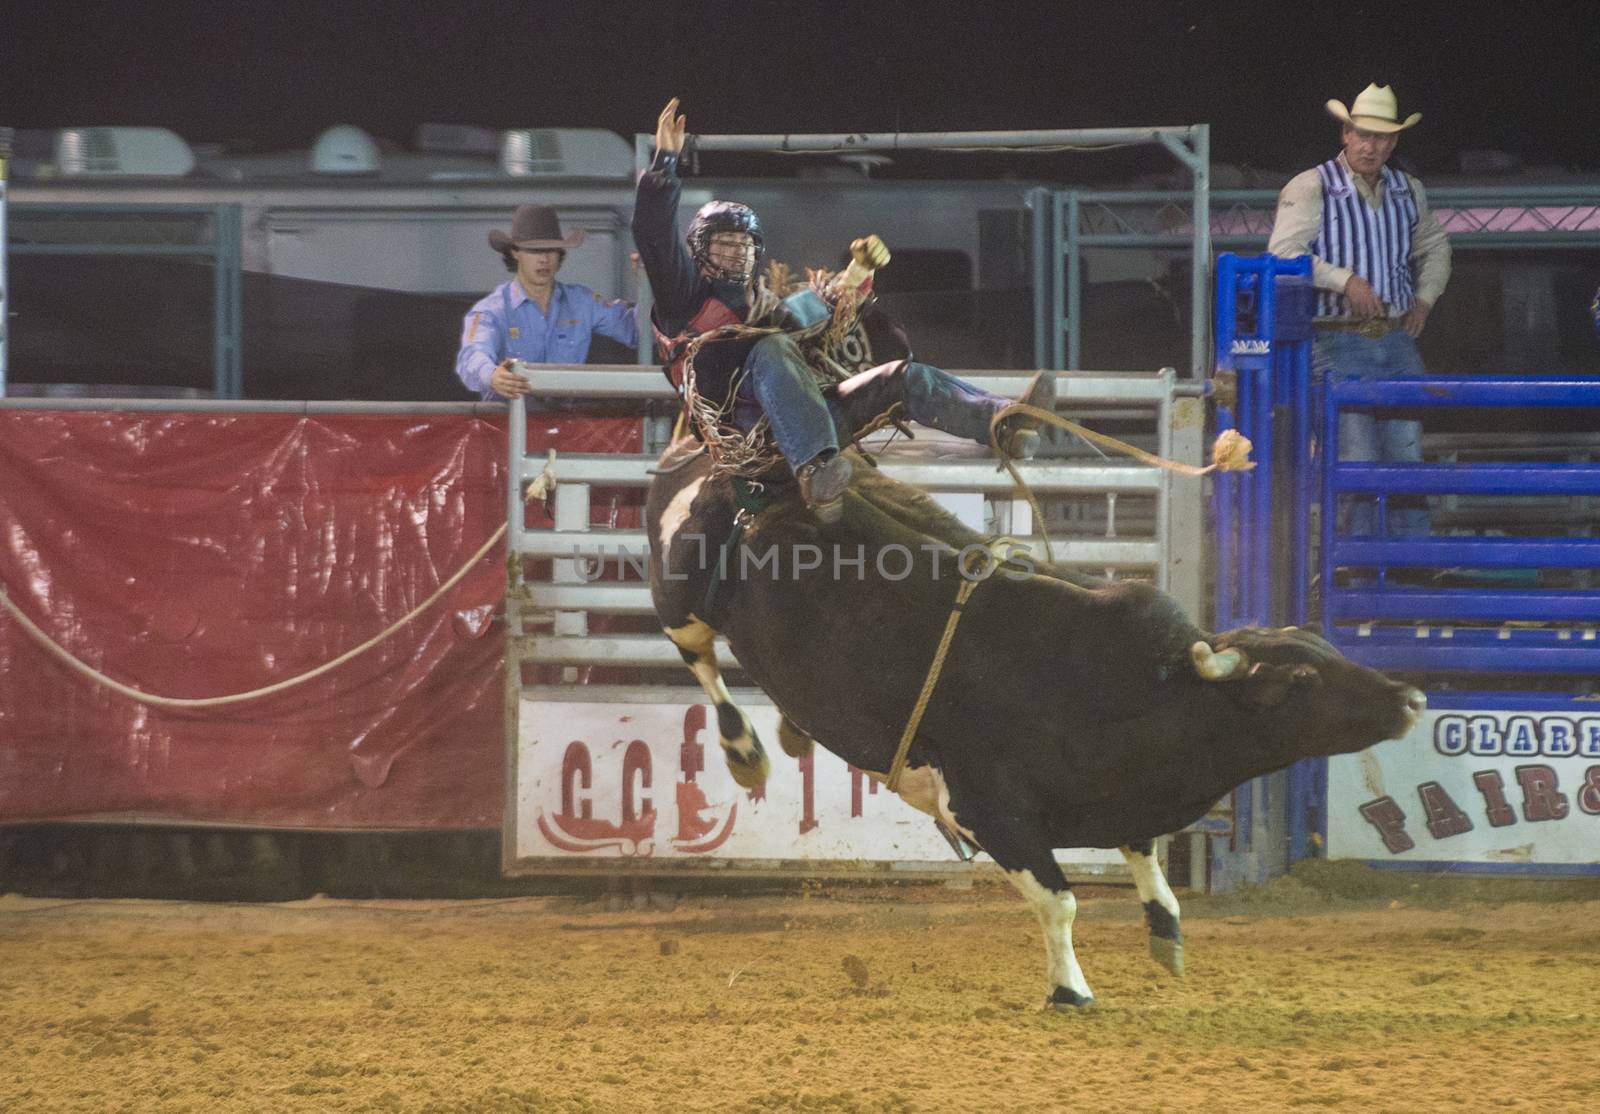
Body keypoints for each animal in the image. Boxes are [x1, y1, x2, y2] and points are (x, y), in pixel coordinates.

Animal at [643, 425, 1420, 1011]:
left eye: (1322, 651)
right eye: (1301, 678)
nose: (1410, 699)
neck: (1138, 690)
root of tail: (716, 455)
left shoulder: (1124, 796)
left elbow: (1148, 861)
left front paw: (1166, 932)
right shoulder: (993, 812)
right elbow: (1062, 902)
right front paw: (1069, 990)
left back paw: (788, 731)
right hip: (678, 599)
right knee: (701, 659)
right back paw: (744, 748)